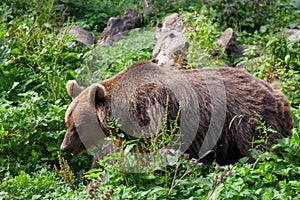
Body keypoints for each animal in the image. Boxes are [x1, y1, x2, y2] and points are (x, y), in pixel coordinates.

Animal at [61, 60, 292, 168]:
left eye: (76, 125)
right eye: (67, 122)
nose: (64, 148)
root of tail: (277, 94)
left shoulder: (153, 116)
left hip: (249, 122)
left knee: (260, 151)